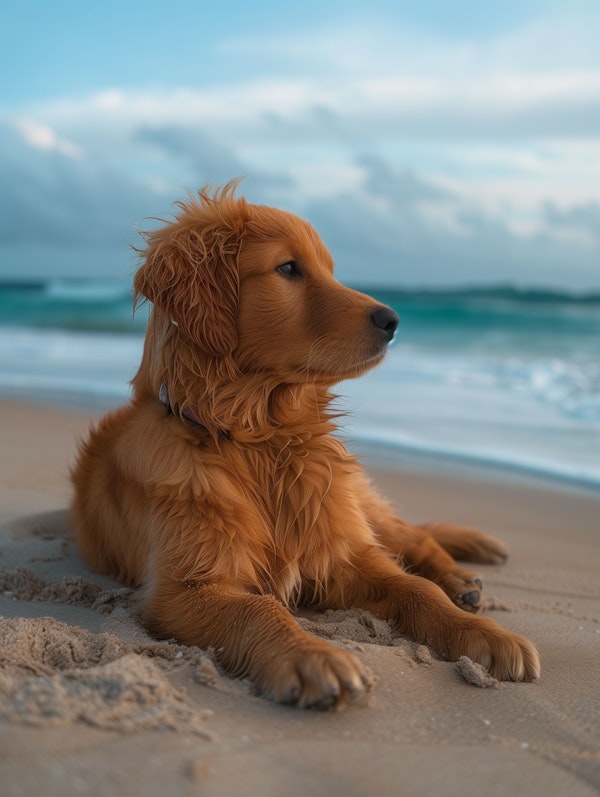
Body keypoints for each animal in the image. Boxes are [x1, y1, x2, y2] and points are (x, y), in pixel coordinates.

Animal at [70, 182, 540, 708]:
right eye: (289, 268)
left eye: (329, 269)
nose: (393, 320)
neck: (261, 440)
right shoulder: (185, 590)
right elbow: (259, 610)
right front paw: (311, 655)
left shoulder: (344, 552)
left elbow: (417, 588)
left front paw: (484, 634)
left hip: (353, 501)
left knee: (413, 537)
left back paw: (461, 581)